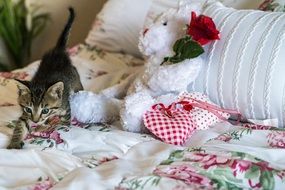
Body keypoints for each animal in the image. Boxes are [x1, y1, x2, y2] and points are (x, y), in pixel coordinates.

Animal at [6, 7, 82, 149]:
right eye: (28, 109)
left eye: (45, 110)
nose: (35, 121)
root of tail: (58, 51)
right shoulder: (25, 115)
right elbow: (20, 126)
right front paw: (14, 143)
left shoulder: (65, 107)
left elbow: (63, 124)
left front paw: (51, 127)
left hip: (71, 73)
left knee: (75, 73)